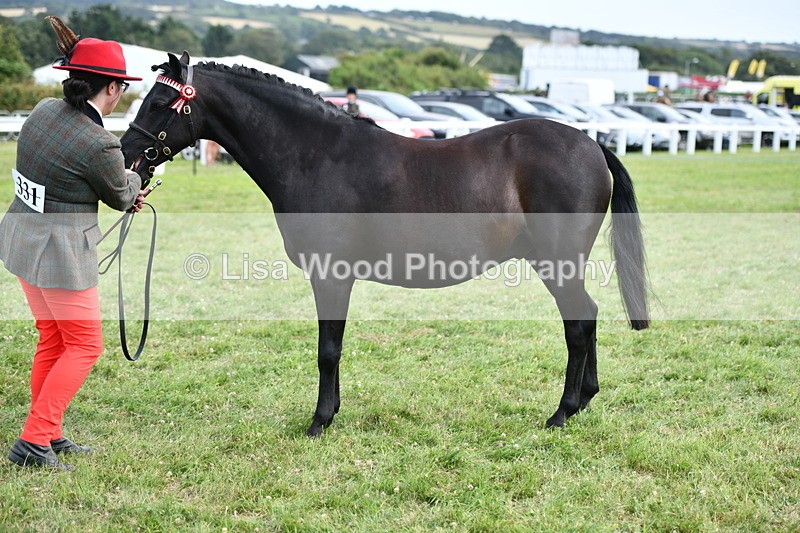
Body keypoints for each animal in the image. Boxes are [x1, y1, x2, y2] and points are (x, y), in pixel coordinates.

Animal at [121, 52, 649, 437]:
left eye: (159, 103)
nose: (126, 155)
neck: (318, 155)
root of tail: (591, 144)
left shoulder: (331, 275)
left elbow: (327, 350)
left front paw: (319, 422)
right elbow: (332, 348)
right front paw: (330, 413)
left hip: (558, 263)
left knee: (577, 325)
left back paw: (561, 413)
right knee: (588, 316)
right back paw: (583, 401)